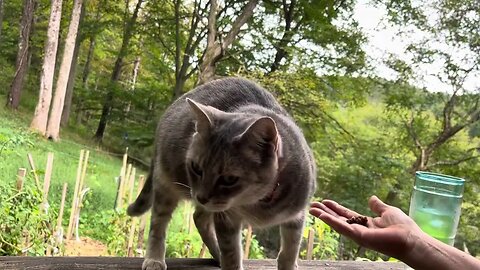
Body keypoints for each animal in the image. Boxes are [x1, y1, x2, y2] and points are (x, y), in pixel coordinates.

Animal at [128, 77, 316, 270]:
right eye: (196, 168)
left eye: (229, 179)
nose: (201, 197)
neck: (258, 203)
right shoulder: (226, 220)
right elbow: (232, 254)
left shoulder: (297, 216)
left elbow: (290, 251)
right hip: (166, 184)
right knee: (159, 224)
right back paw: (155, 259)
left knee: (199, 217)